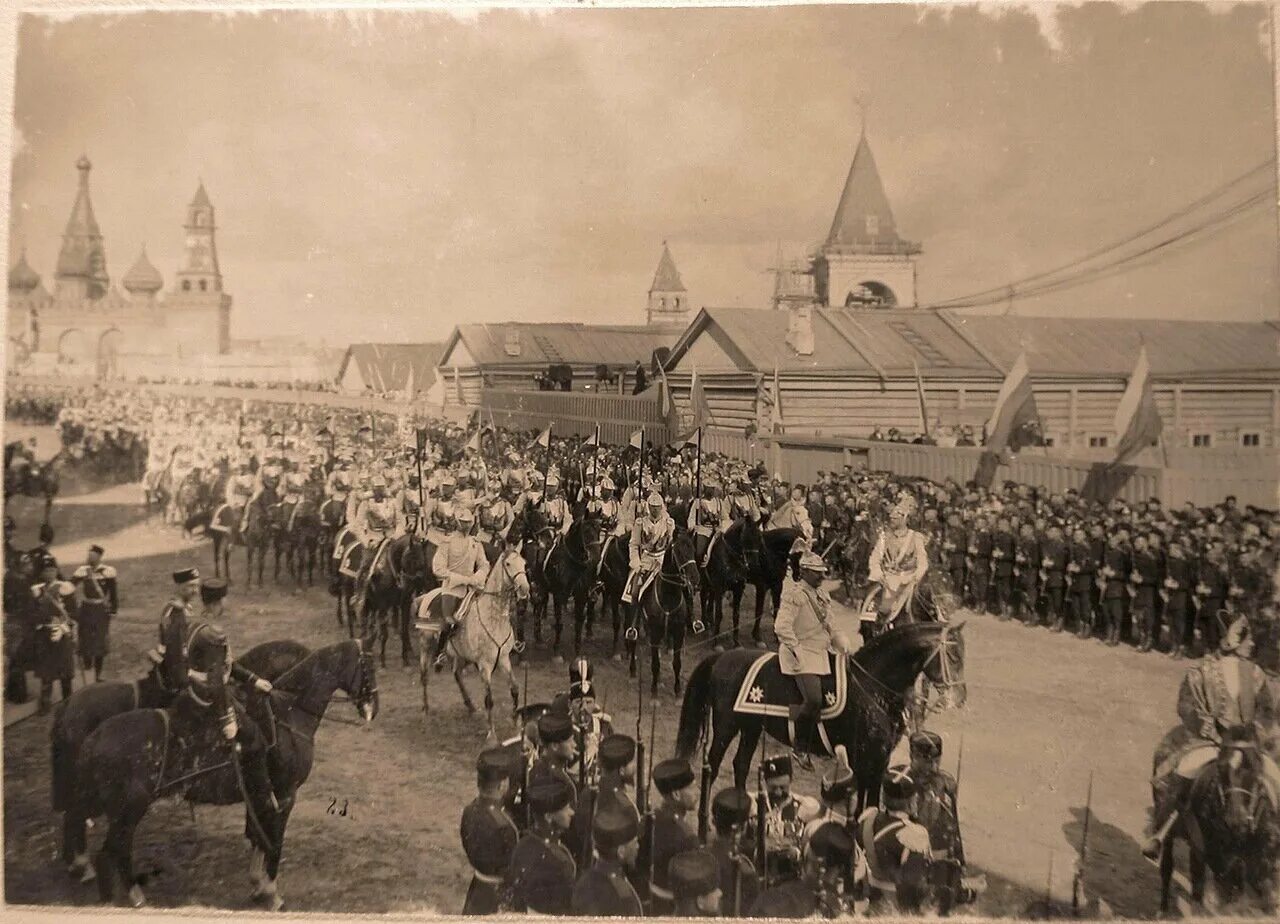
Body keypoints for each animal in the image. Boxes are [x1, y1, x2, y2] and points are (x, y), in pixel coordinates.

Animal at [412, 542, 527, 737]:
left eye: (524, 563)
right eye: (509, 564)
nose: (525, 589)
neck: (494, 619)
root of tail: (426, 596)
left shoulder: (503, 659)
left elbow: (515, 688)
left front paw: (515, 723)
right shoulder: (484, 665)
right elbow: (489, 699)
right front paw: (491, 733)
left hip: (460, 655)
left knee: (457, 675)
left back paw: (470, 706)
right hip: (426, 645)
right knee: (424, 676)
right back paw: (426, 709)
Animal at [675, 621, 962, 808]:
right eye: (953, 656)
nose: (959, 696)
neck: (871, 683)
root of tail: (722, 659)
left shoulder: (879, 762)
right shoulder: (865, 759)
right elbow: (863, 809)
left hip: (752, 727)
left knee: (741, 764)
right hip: (726, 726)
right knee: (713, 765)